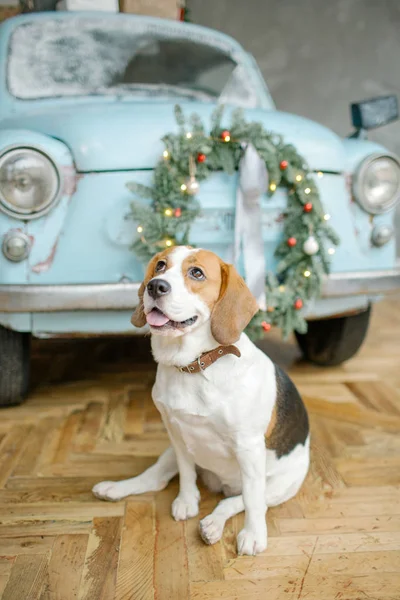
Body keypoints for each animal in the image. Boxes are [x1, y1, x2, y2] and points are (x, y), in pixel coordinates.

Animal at [93, 246, 310, 556]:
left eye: (196, 273)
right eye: (160, 266)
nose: (155, 286)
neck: (196, 365)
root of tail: (222, 484)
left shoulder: (249, 447)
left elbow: (252, 502)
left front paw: (254, 534)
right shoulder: (176, 433)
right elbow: (185, 474)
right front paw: (187, 500)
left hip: (278, 486)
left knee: (236, 501)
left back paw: (214, 524)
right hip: (169, 452)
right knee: (155, 478)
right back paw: (115, 488)